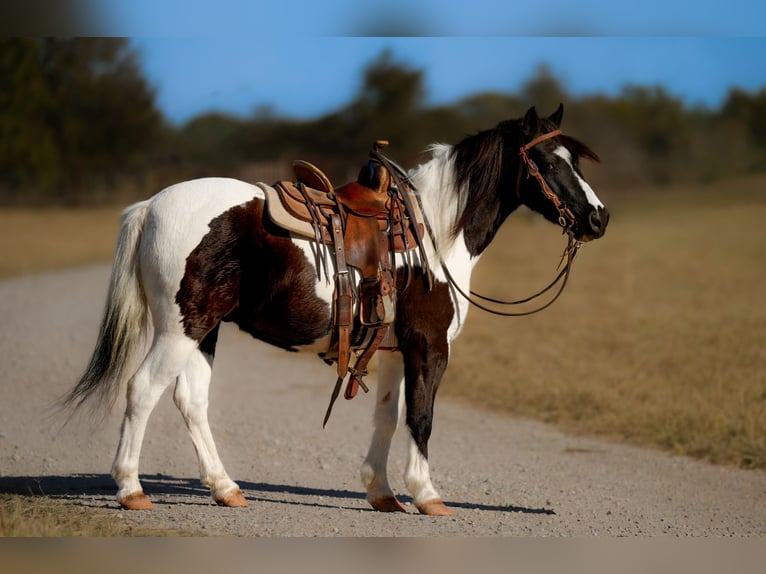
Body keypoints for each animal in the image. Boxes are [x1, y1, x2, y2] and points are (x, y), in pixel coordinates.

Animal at [65, 104, 609, 516]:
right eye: (549, 163)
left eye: (575, 162)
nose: (598, 218)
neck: (433, 232)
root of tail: (152, 205)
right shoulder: (429, 346)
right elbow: (422, 417)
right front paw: (427, 495)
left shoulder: (392, 351)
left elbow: (388, 417)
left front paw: (383, 492)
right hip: (181, 328)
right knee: (142, 390)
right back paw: (131, 489)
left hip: (203, 331)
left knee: (190, 401)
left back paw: (226, 489)